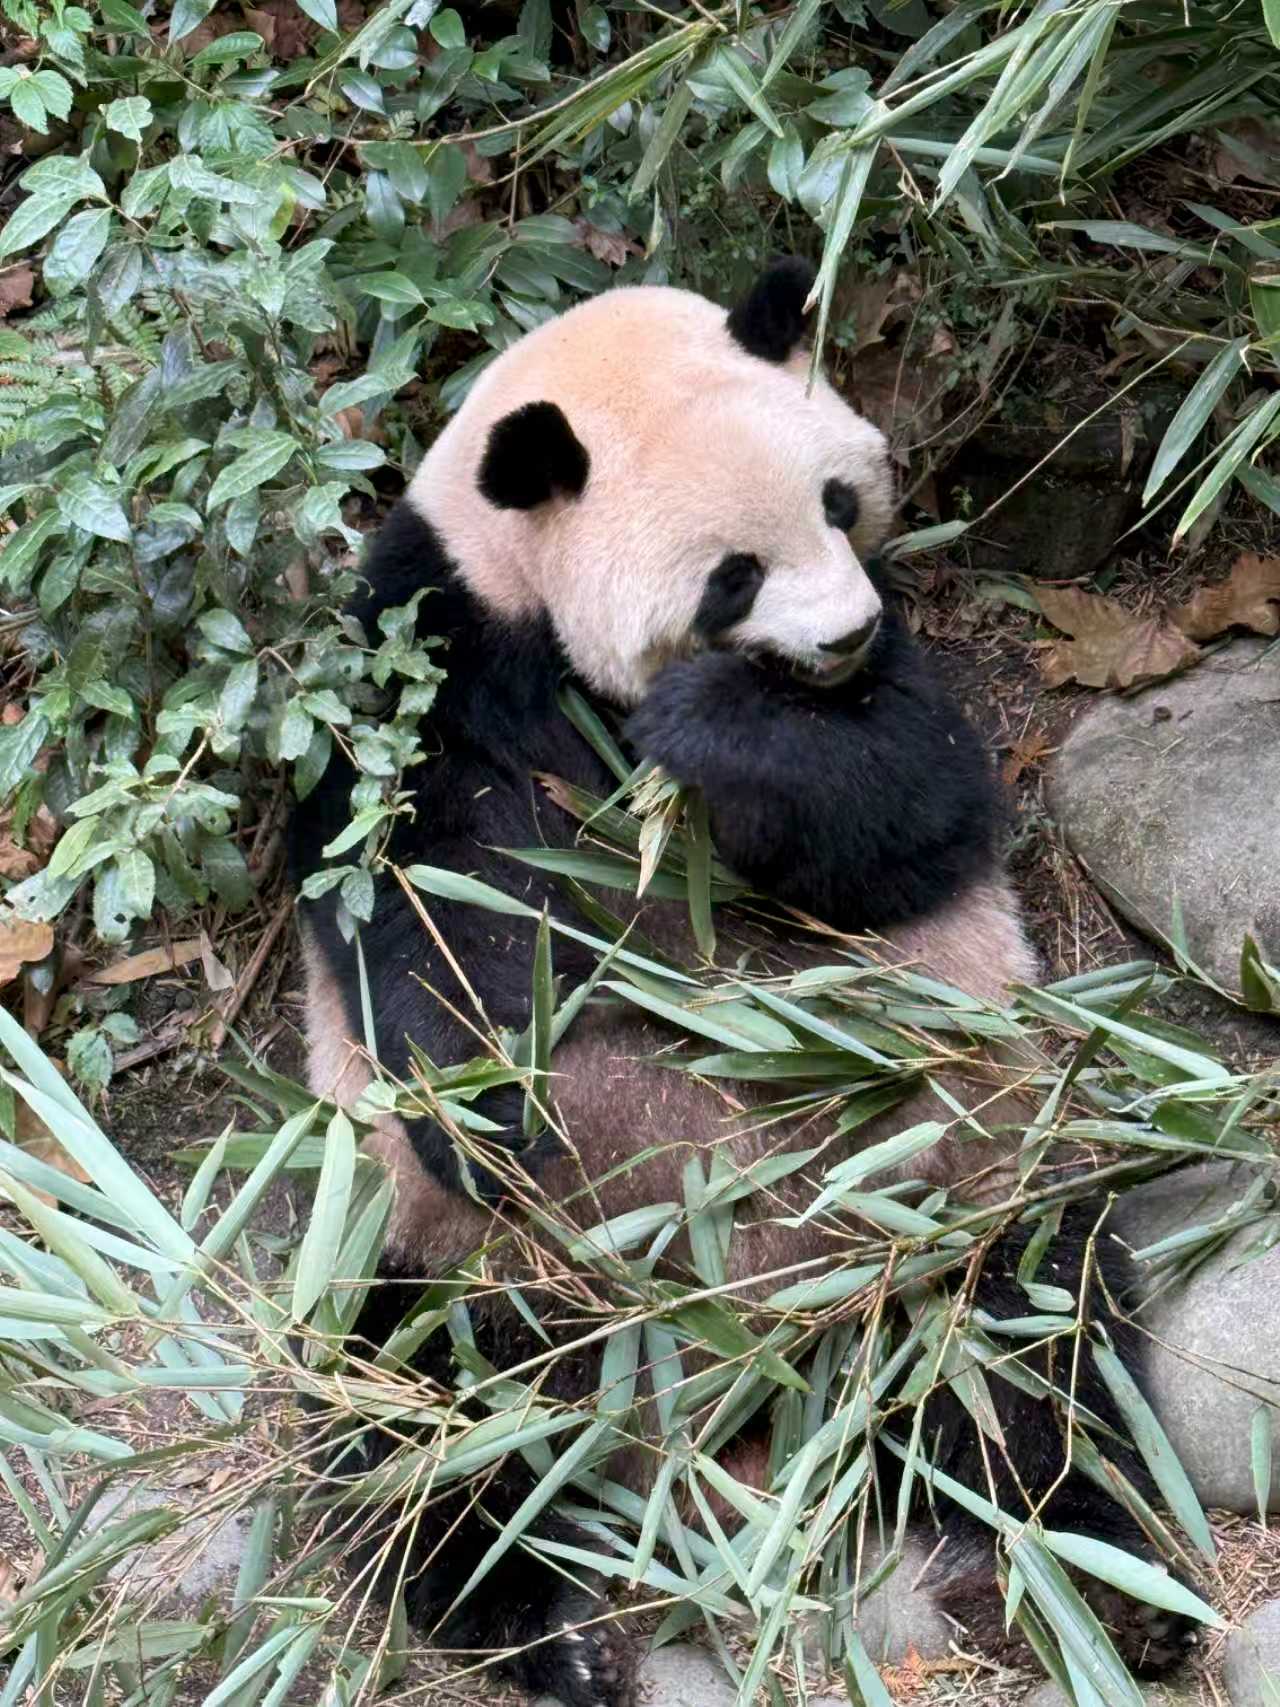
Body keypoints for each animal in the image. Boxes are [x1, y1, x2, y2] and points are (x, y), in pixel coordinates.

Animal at [289, 259, 1193, 1707]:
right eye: (731, 574)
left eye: (837, 501)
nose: (844, 634)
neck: (530, 609)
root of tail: (754, 1360)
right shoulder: (422, 666)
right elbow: (412, 906)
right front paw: (499, 1097)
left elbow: (910, 804)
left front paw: (724, 731)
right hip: (458, 1260)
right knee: (416, 1414)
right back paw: (539, 1624)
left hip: (958, 1181)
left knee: (1036, 1354)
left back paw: (1100, 1576)